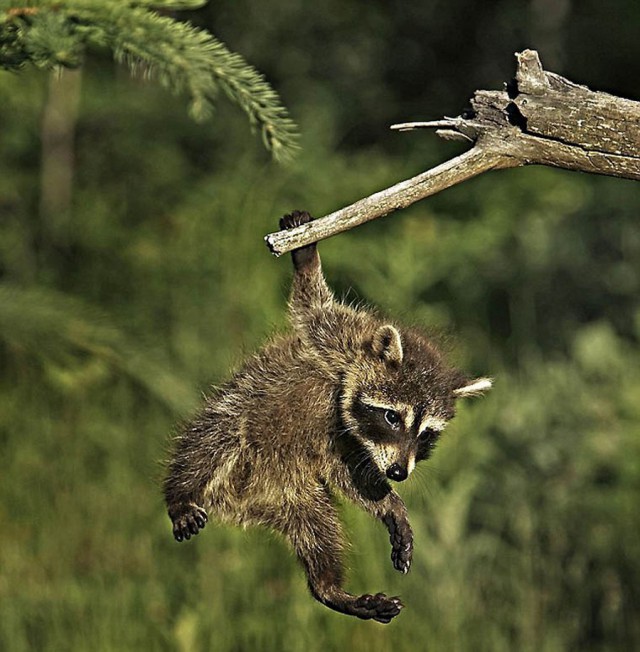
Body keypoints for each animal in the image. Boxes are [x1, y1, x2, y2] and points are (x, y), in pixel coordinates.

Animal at [164, 211, 490, 624]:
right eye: (392, 417)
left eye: (427, 435)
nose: (399, 473)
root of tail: (240, 502)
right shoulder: (341, 341)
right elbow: (312, 307)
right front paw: (305, 259)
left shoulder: (348, 444)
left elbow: (355, 478)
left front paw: (389, 503)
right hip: (237, 422)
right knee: (212, 439)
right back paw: (179, 493)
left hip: (295, 494)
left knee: (318, 531)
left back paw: (329, 588)